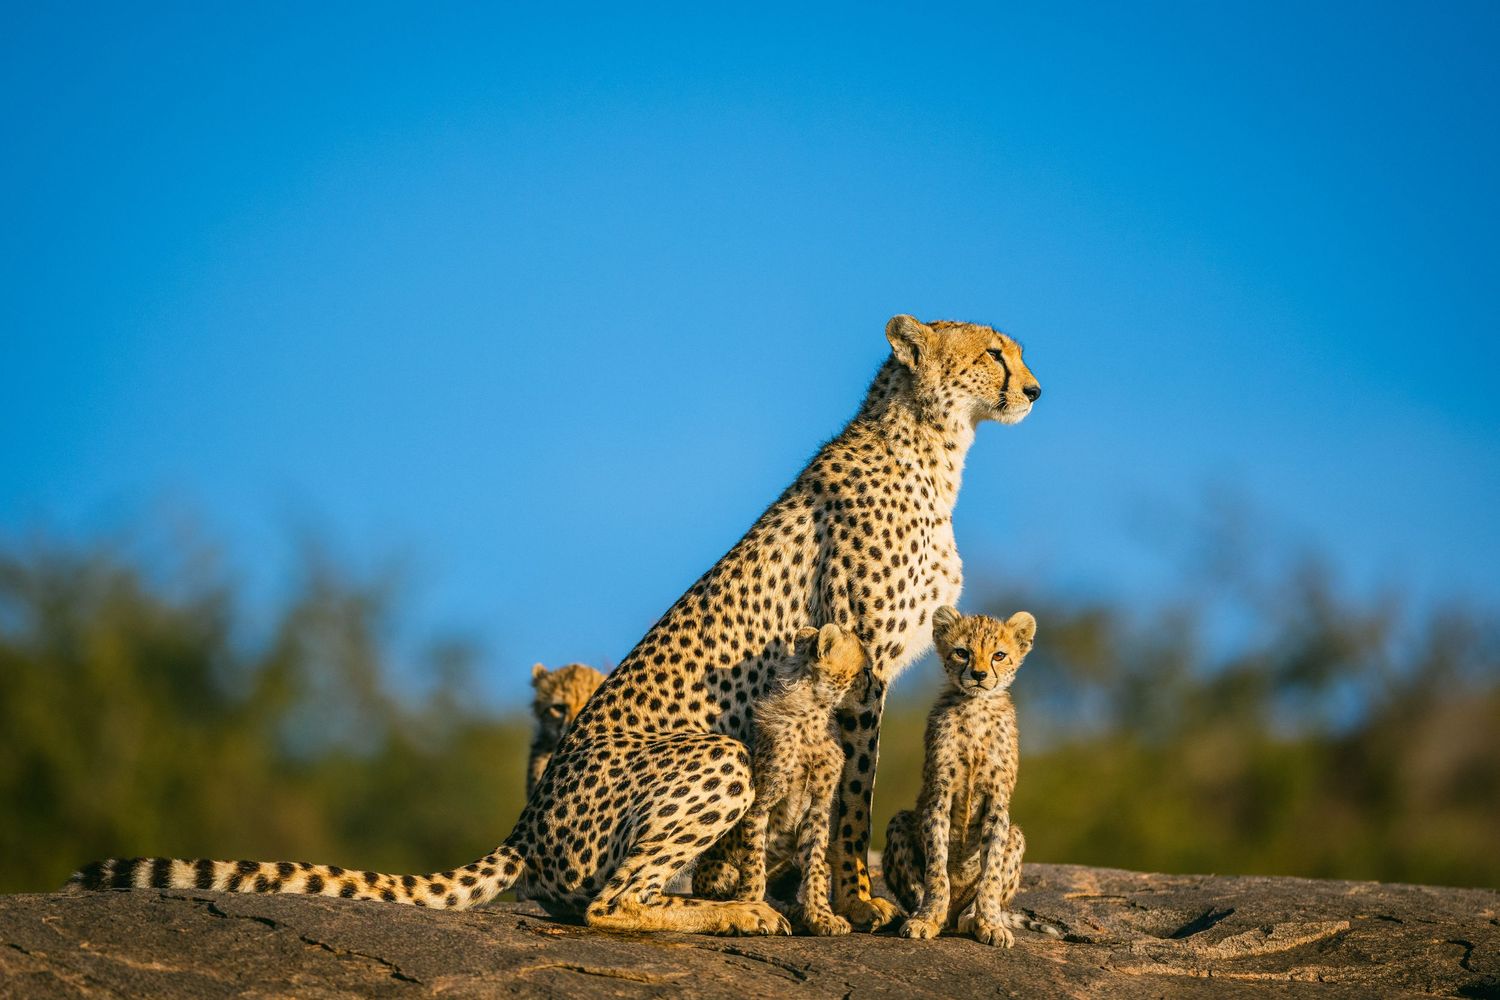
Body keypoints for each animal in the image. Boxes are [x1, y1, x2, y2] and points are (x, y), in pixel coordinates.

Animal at [66, 314, 1041, 937]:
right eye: (993, 353)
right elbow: (854, 796)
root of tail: (527, 820)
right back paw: (737, 912)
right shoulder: (862, 663)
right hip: (715, 757)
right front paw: (858, 901)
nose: (1034, 387)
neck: (934, 447)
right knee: (606, 905)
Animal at [884, 606, 1060, 947]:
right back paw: (929, 916)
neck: (976, 707)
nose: (978, 675)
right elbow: (936, 868)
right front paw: (926, 919)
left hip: (1016, 835)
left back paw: (971, 919)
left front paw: (990, 924)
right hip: (900, 821)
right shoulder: (939, 797)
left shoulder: (997, 802)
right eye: (962, 652)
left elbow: (991, 875)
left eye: (999, 655)